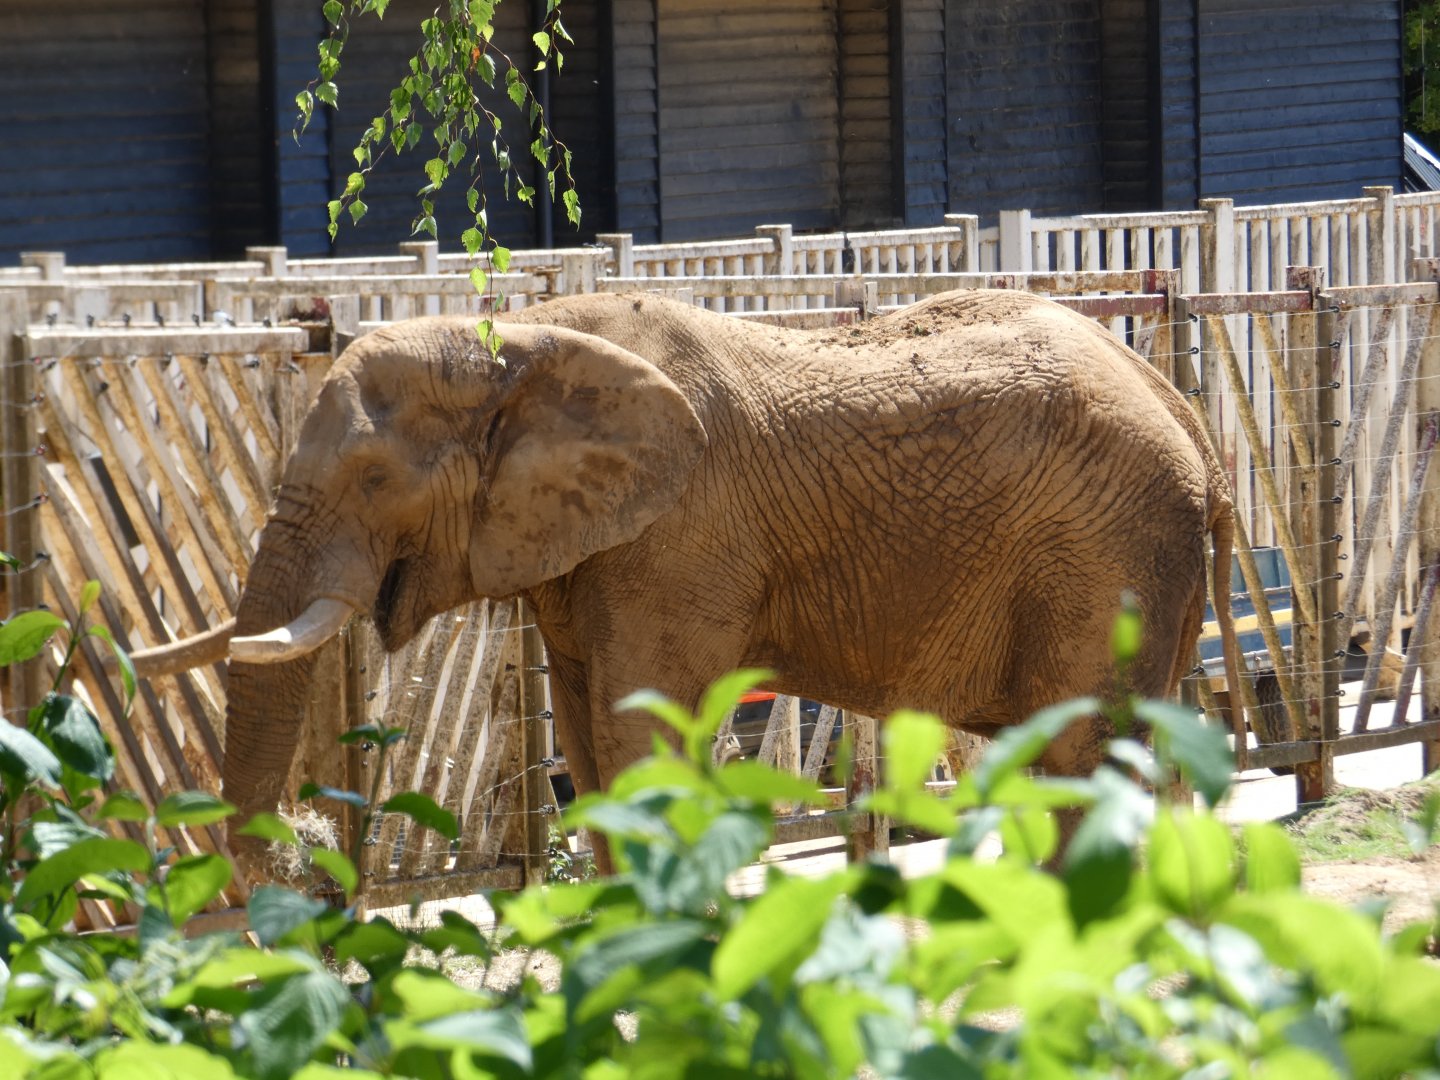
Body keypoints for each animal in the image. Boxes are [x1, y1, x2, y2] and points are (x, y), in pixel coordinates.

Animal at [132, 289, 1238, 873]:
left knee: (1076, 757)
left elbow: (640, 735)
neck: (517, 332)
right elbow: (591, 746)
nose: (305, 851)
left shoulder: (679, 540)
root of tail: (1188, 417)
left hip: (1106, 554)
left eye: (370, 479)